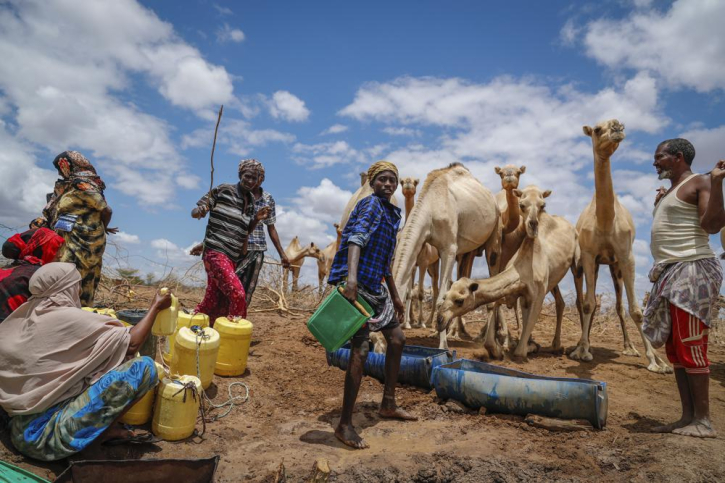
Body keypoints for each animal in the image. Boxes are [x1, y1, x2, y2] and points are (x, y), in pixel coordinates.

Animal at [394, 164, 500, 350]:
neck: (431, 207)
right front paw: (438, 333)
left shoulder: (449, 248)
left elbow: (441, 298)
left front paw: (443, 346)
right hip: (467, 251)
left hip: (493, 234)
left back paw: (490, 339)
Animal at [436, 185, 584, 360]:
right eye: (445, 296)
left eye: (460, 300)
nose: (440, 320)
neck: (521, 270)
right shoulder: (521, 295)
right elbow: (497, 309)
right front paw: (500, 349)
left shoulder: (538, 296)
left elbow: (520, 351)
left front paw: (525, 347)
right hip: (553, 279)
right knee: (560, 301)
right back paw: (555, 345)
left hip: (576, 264)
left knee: (579, 297)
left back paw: (573, 348)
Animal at [568, 120, 672, 374]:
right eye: (597, 129)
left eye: (620, 124)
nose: (616, 127)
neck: (605, 221)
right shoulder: (588, 255)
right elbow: (588, 303)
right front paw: (582, 351)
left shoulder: (626, 256)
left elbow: (635, 310)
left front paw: (655, 361)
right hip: (591, 265)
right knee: (588, 302)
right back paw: (584, 344)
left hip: (614, 267)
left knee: (618, 306)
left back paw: (632, 349)